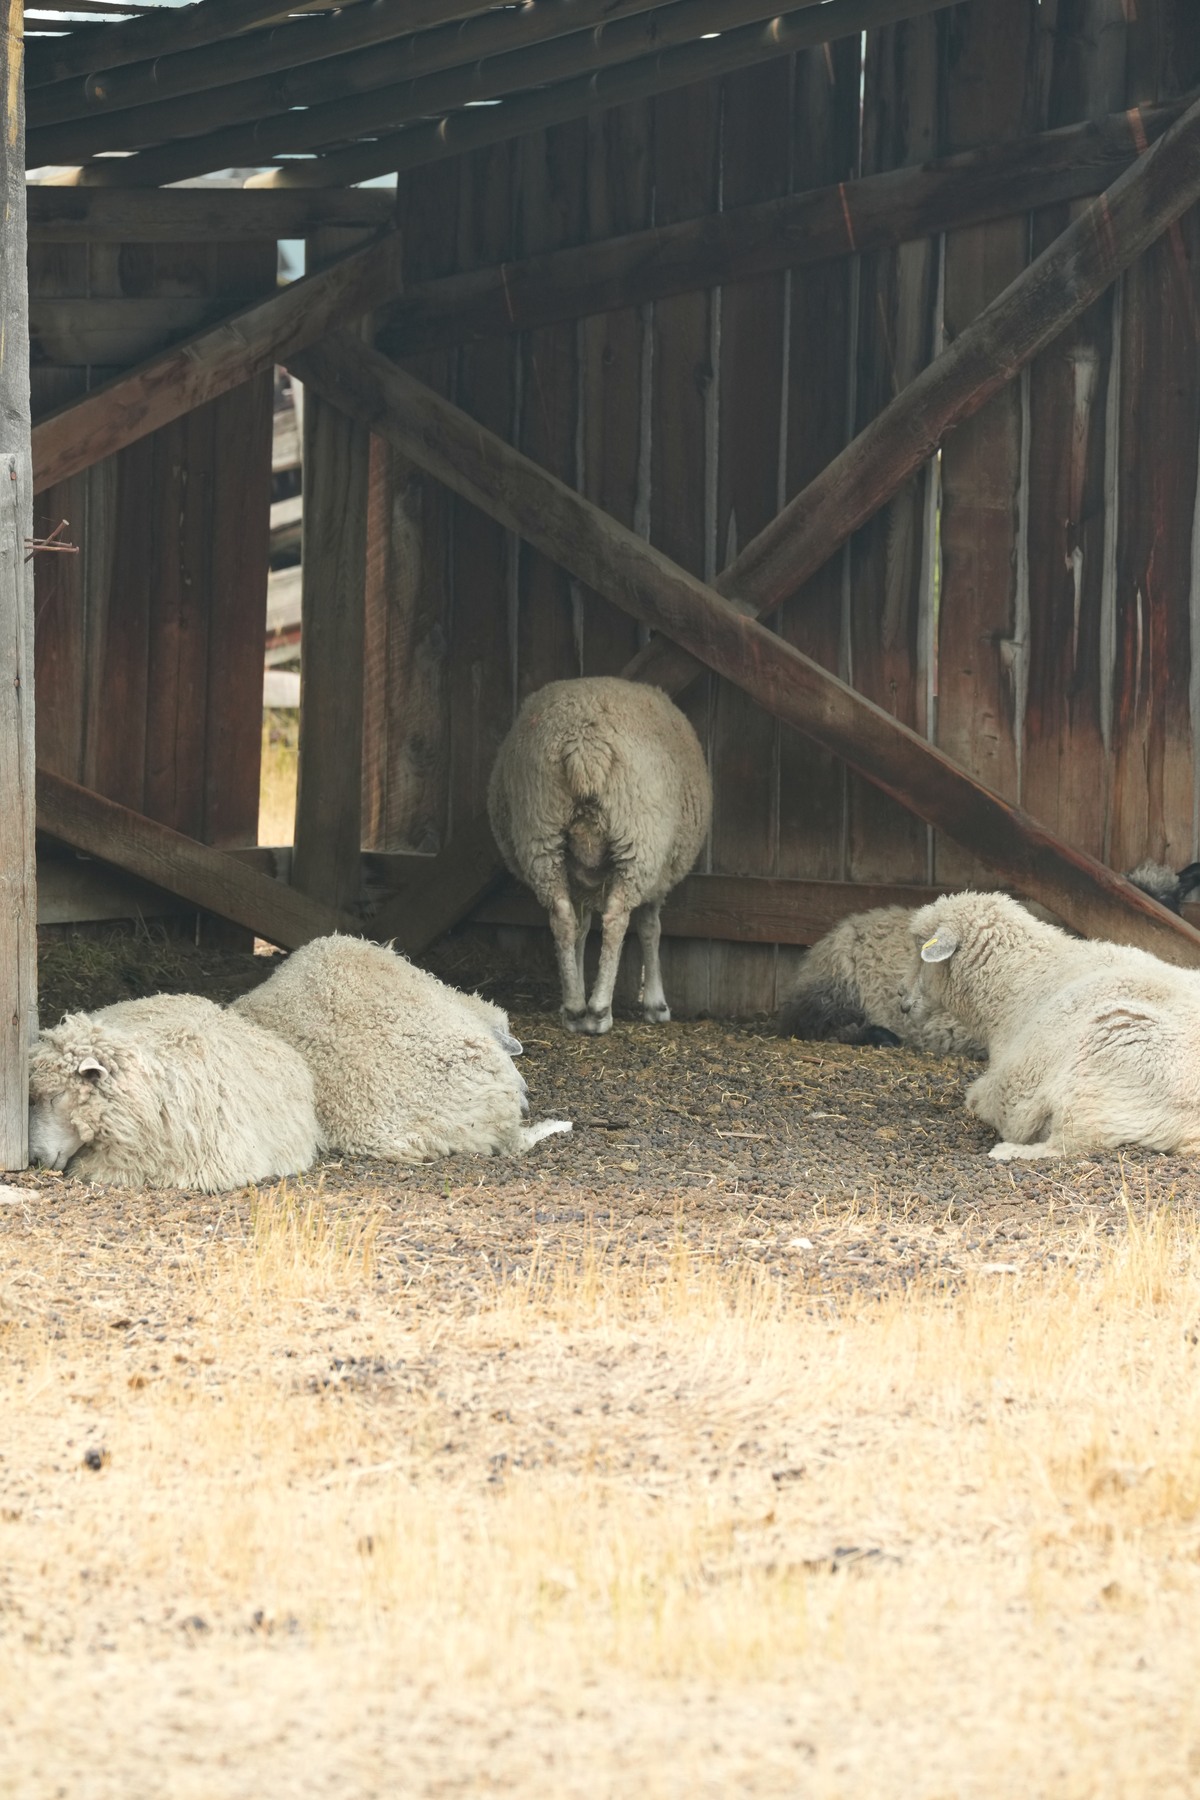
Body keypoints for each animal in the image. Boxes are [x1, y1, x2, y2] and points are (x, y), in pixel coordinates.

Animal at [487, 676, 712, 1034]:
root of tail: (584, 743)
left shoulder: (581, 879)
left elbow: (581, 929)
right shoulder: (659, 875)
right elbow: (650, 928)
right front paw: (656, 1004)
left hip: (540, 832)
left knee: (562, 917)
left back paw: (575, 1008)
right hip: (639, 840)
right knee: (617, 918)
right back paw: (599, 1010)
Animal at [904, 890, 1200, 1161]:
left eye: (921, 950)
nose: (903, 1003)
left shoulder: (1007, 1086)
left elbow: (980, 1099)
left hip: (1097, 1087)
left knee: (1068, 1144)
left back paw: (1007, 1151)